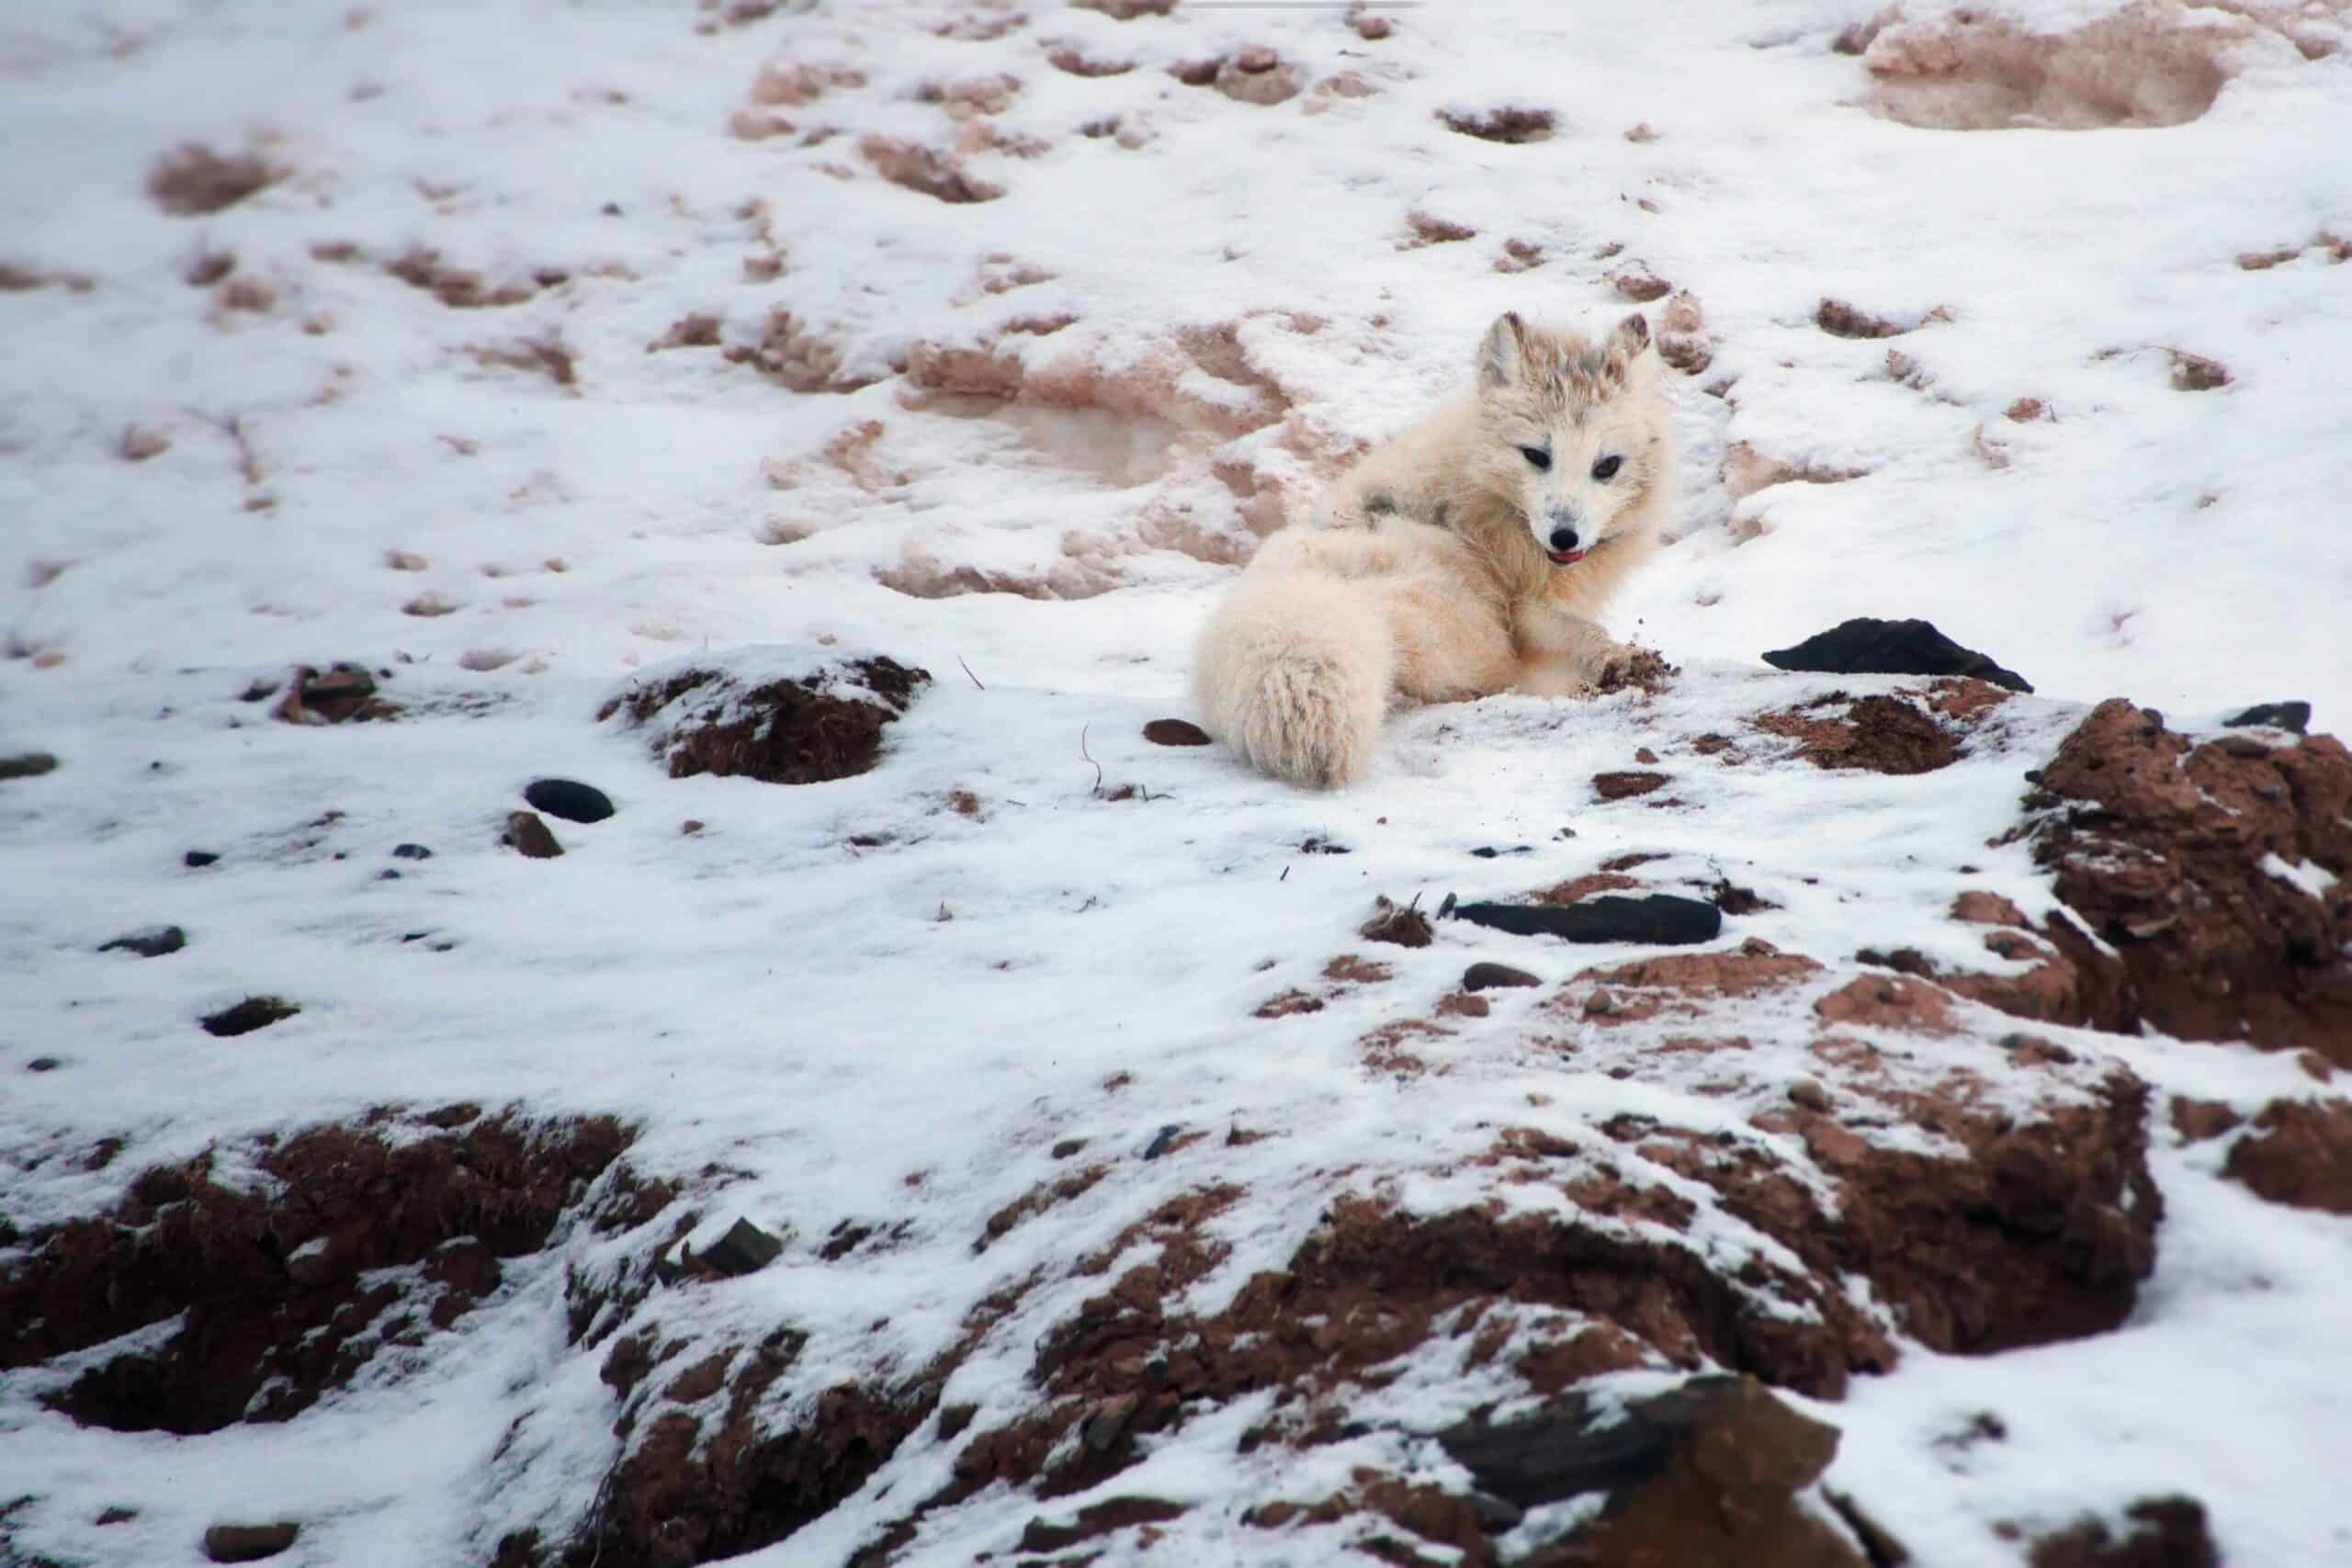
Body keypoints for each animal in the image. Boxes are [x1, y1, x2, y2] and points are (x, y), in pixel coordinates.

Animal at [1192, 309, 1675, 789]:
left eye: (1607, 466)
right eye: (1536, 456)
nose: (1564, 537)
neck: (1482, 498)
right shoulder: (1521, 604)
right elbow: (1576, 631)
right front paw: (1619, 658)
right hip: (1465, 613)